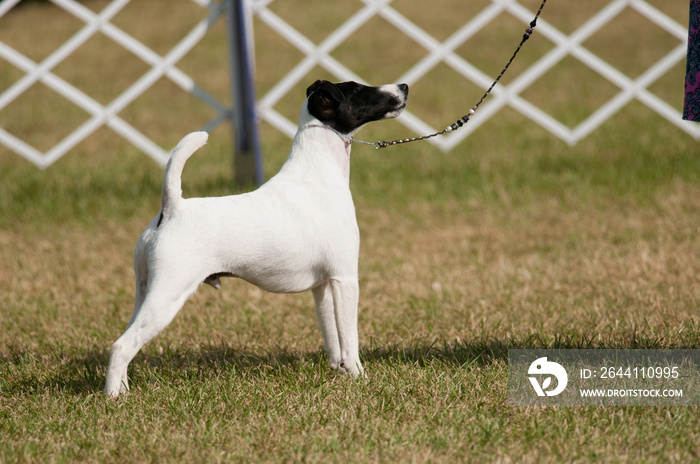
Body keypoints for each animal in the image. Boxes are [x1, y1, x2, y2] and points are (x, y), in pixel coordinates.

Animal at [104, 79, 410, 396]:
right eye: (356, 89)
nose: (404, 86)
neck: (318, 173)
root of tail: (171, 208)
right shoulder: (345, 278)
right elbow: (349, 339)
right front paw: (360, 377)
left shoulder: (323, 285)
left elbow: (332, 337)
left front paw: (339, 373)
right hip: (167, 295)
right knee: (122, 345)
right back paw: (114, 398)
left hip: (145, 291)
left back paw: (123, 390)